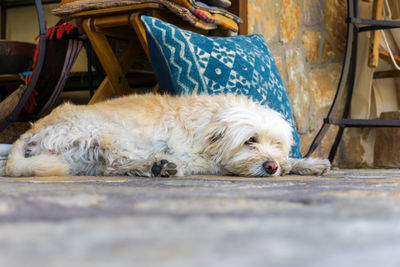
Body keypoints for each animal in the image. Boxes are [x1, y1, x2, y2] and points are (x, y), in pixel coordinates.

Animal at [6, 93, 330, 178]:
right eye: (250, 141)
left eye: (277, 143)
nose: (270, 166)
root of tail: (33, 128)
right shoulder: (198, 156)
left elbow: (291, 161)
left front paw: (308, 164)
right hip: (107, 131)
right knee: (116, 162)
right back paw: (160, 165)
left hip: (85, 158)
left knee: (112, 167)